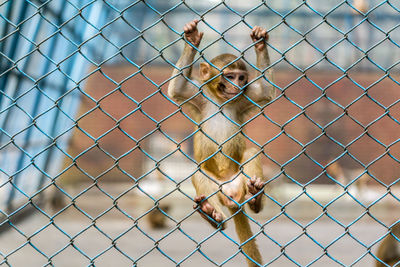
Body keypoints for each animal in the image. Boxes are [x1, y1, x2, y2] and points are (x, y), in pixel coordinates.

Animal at [168, 19, 276, 266]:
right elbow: (177, 89)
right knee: (199, 173)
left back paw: (255, 198)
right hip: (216, 188)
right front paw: (192, 38)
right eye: (229, 76)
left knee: (251, 153)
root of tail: (233, 198)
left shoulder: (245, 97)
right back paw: (213, 214)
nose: (237, 85)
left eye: (241, 77)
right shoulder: (197, 95)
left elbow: (265, 90)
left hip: (240, 179)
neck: (221, 101)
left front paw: (260, 43)